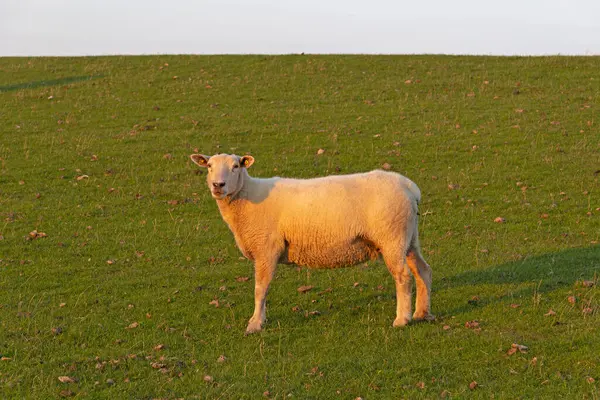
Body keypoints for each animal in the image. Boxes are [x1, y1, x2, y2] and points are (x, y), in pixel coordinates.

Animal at [190, 152, 434, 332]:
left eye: (236, 166)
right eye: (209, 166)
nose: (218, 185)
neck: (246, 197)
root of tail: (408, 186)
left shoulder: (266, 248)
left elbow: (260, 288)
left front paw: (255, 323)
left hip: (392, 236)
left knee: (403, 277)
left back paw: (402, 319)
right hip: (409, 237)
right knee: (423, 270)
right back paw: (422, 313)